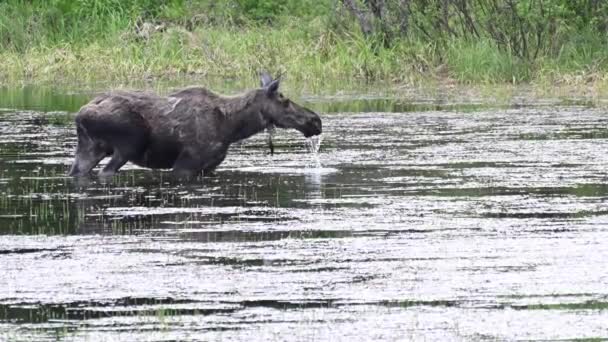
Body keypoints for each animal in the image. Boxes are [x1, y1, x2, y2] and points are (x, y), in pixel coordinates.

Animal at [67, 73, 324, 179]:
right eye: (284, 100)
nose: (316, 121)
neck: (232, 128)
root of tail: (81, 114)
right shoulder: (186, 164)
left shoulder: (208, 167)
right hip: (127, 147)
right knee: (105, 173)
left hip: (90, 148)